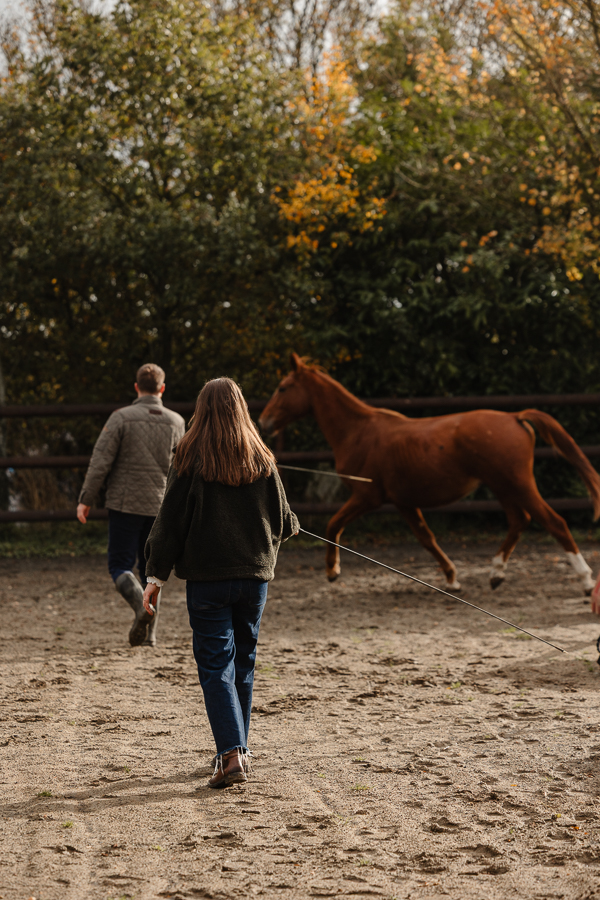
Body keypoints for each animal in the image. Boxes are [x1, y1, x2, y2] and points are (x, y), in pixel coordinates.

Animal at [259, 353, 600, 595]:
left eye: (283, 388)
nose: (264, 422)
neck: (359, 432)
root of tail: (515, 416)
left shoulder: (367, 496)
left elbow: (333, 524)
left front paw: (332, 571)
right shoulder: (403, 502)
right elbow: (427, 538)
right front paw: (452, 579)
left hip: (518, 484)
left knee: (554, 522)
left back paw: (585, 581)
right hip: (502, 486)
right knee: (520, 521)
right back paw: (495, 574)